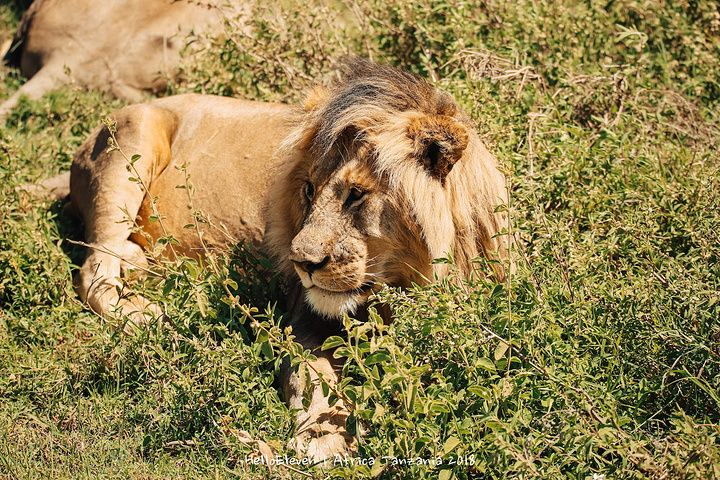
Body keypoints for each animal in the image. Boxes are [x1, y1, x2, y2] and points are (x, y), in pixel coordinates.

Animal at [56, 58, 510, 464]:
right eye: (309, 189)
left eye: (356, 195)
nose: (301, 263)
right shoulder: (304, 319)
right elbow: (316, 379)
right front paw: (324, 439)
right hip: (130, 140)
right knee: (94, 270)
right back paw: (159, 318)